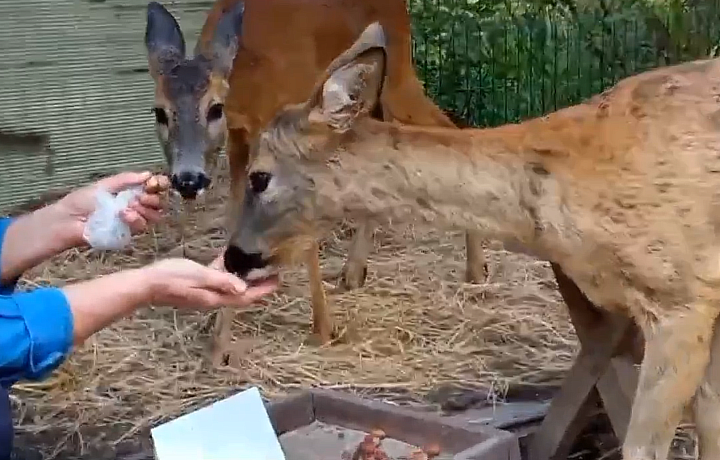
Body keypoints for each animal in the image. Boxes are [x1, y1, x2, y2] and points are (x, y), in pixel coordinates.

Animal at [141, 0, 490, 360]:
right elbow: (235, 221)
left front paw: (323, 328)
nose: (188, 179)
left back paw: (476, 268)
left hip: (399, 72)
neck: (246, 83)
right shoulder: (239, 142)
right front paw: (218, 338)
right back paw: (354, 271)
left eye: (214, 109)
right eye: (159, 112)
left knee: (452, 128)